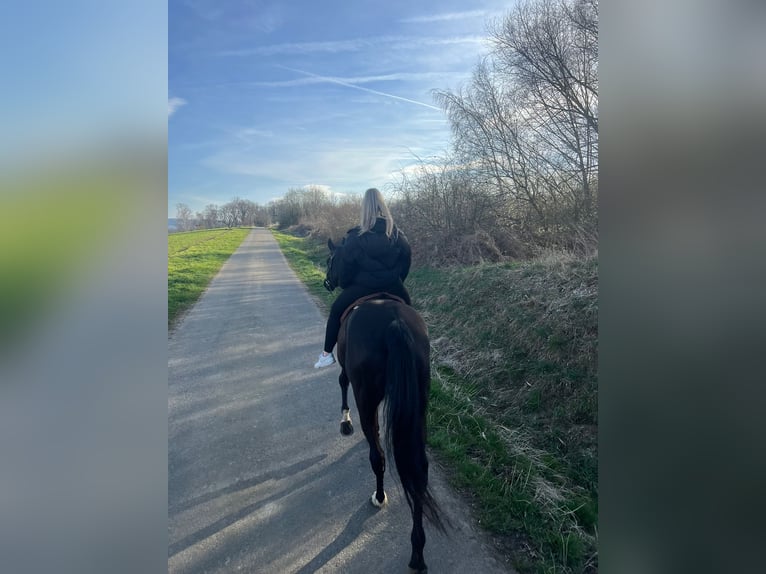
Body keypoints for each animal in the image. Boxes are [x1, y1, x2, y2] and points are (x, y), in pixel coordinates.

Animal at [324, 237, 444, 572]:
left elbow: (341, 382)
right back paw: (418, 552)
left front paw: (345, 422)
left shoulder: (348, 371)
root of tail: (394, 323)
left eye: (332, 260)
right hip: (419, 399)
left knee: (377, 455)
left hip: (366, 395)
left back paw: (379, 496)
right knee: (419, 470)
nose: (327, 282)